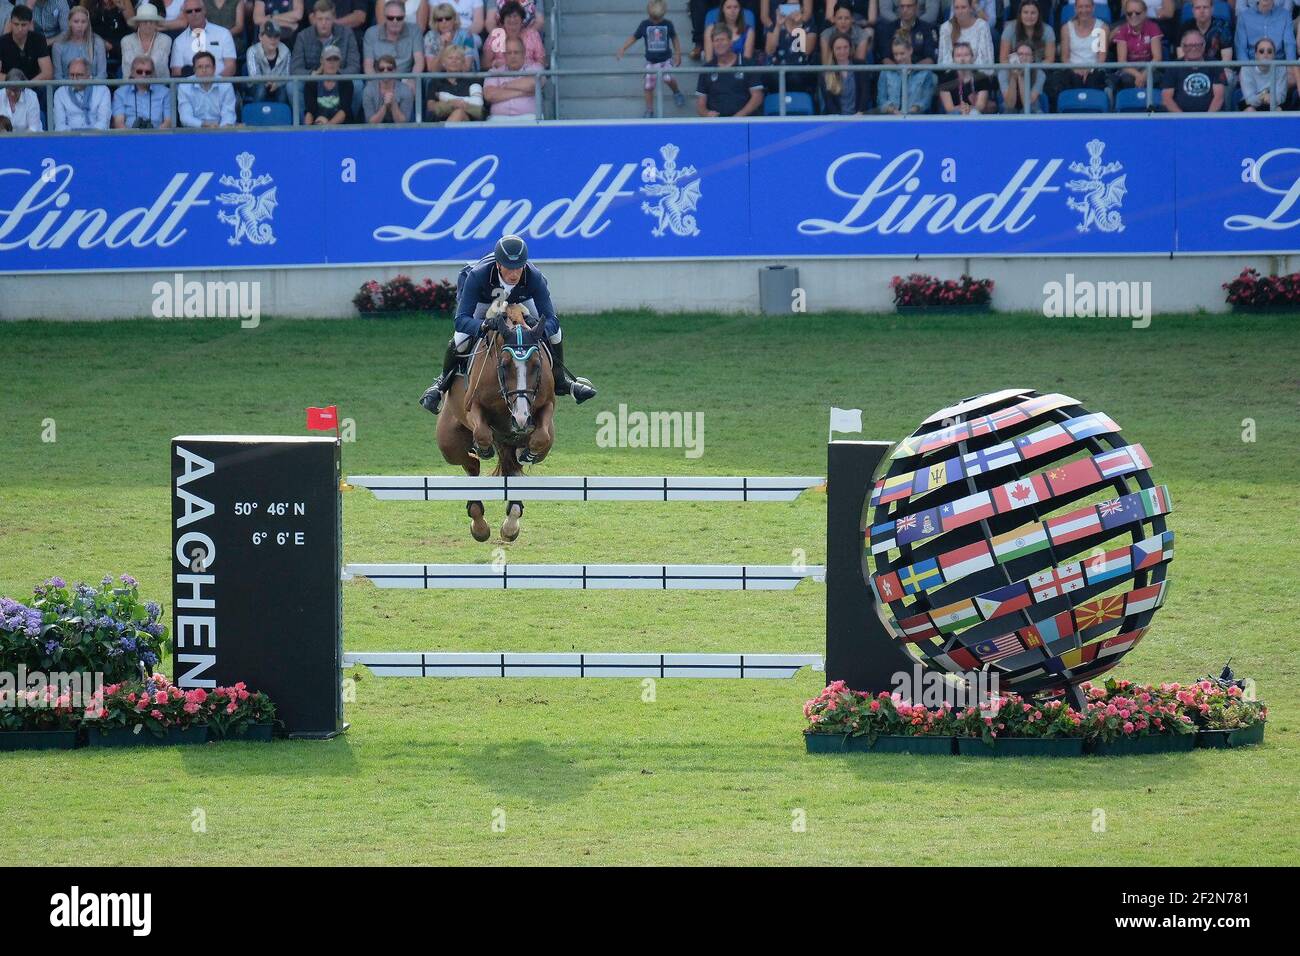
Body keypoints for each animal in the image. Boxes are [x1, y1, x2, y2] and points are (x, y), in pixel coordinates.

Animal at [439, 306, 556, 546]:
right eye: (504, 365)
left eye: (537, 365)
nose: (521, 419)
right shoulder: (472, 405)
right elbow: (483, 433)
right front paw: (484, 449)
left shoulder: (547, 404)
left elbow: (540, 438)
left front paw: (528, 452)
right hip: (449, 444)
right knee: (471, 466)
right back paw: (479, 525)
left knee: (513, 467)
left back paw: (511, 522)